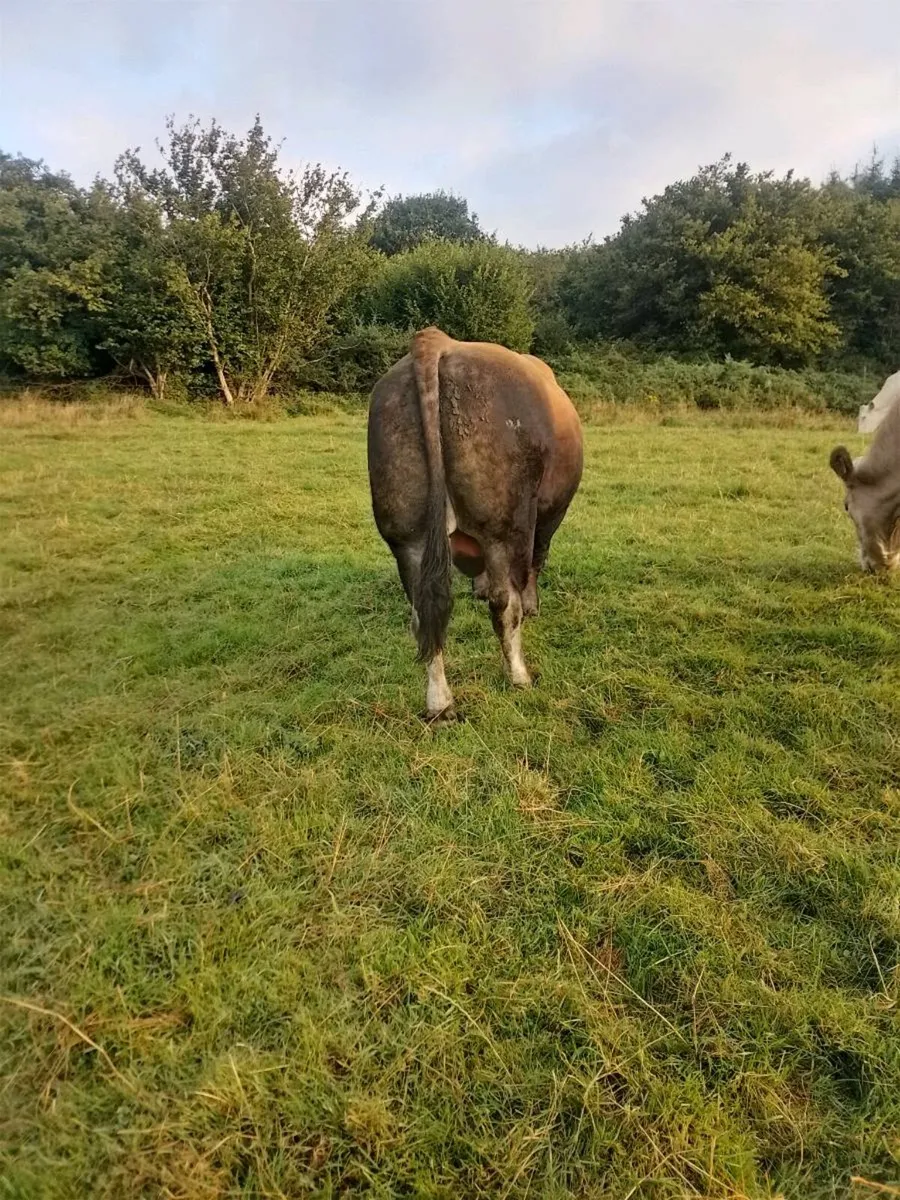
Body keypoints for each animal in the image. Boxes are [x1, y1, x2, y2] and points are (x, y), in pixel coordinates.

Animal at [367, 327, 584, 720]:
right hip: (504, 527)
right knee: (504, 603)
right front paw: (533, 605)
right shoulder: (546, 517)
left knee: (424, 614)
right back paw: (519, 676)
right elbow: (535, 563)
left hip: (407, 536)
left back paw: (439, 703)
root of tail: (437, 341)